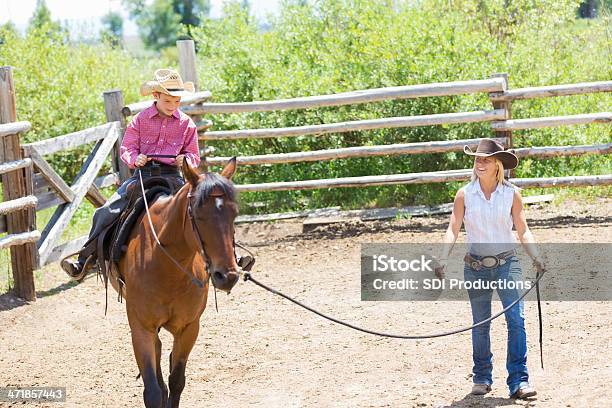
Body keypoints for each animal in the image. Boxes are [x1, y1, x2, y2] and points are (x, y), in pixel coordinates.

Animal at [111, 159, 240, 408]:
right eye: (198, 214)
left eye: (234, 214)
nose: (227, 276)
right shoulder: (141, 328)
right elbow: (152, 391)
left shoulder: (189, 328)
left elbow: (177, 380)